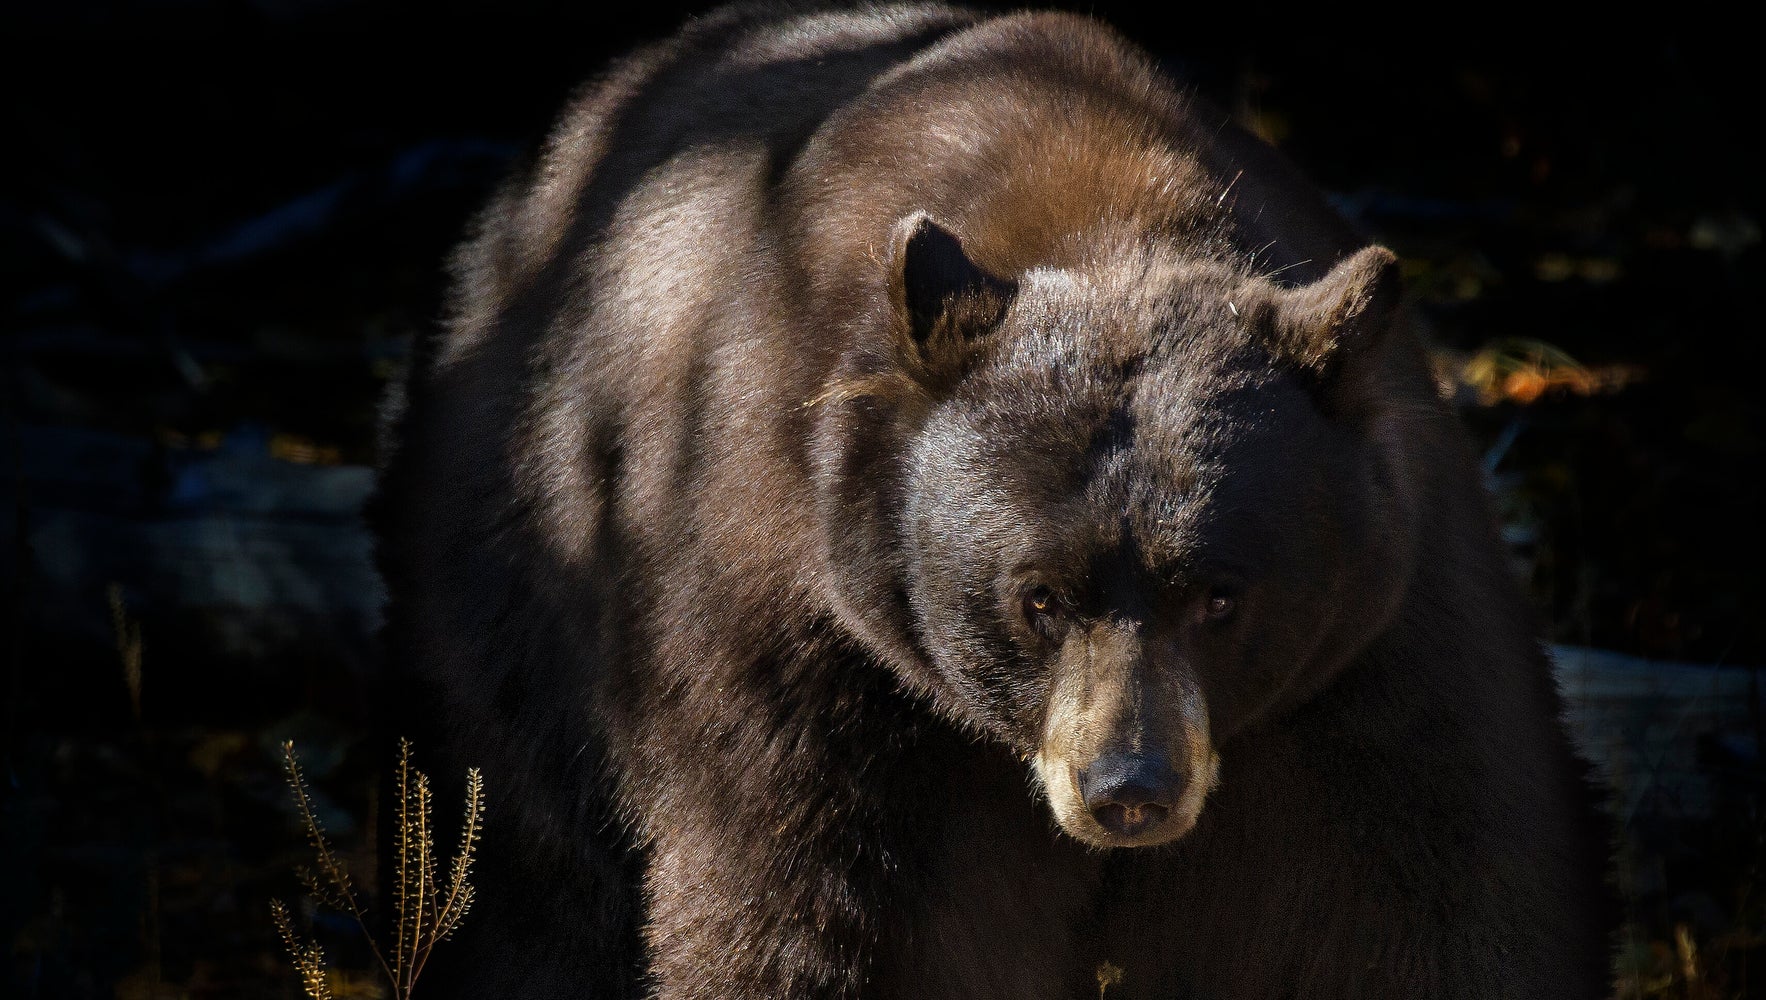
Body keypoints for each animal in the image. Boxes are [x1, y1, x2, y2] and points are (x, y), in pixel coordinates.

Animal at [372, 3, 1615, 997]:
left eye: (1220, 595)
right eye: (1036, 597)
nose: (1128, 788)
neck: (1104, 209)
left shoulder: (1372, 653)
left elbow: (1432, 899)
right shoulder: (809, 653)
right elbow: (815, 916)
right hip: (519, 578)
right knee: (532, 874)